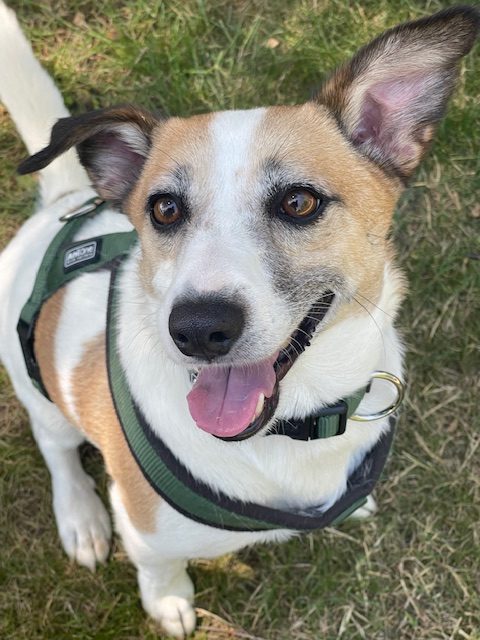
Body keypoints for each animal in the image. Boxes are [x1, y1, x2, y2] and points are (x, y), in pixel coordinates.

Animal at [0, 2, 478, 637]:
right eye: (164, 208)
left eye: (299, 202)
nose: (198, 329)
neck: (294, 425)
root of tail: (65, 203)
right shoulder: (144, 529)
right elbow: (158, 569)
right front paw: (169, 603)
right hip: (39, 389)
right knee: (54, 447)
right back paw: (80, 517)